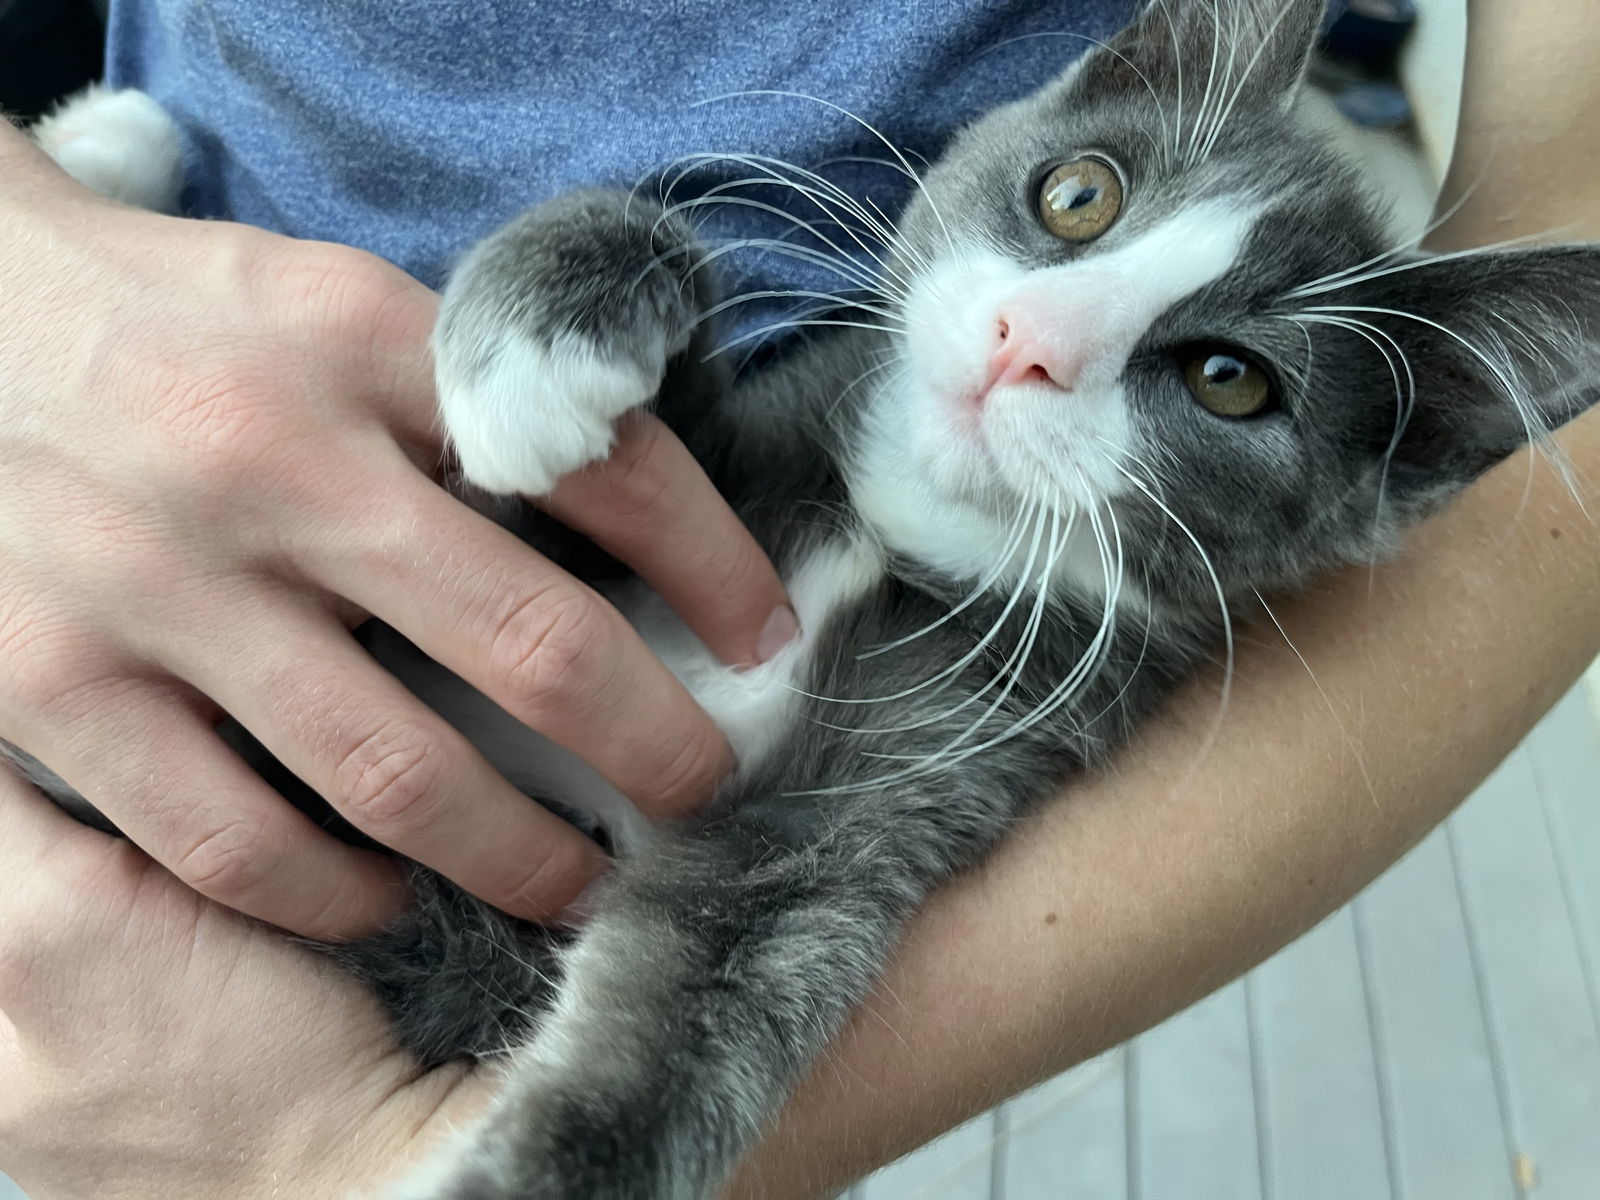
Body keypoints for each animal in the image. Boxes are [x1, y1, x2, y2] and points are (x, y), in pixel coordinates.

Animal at [18, 2, 1600, 1200]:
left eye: (1231, 381)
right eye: (1076, 195)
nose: (1028, 339)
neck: (881, 527)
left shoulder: (896, 785)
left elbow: (714, 996)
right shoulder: (607, 502)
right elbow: (564, 398)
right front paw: (541, 339)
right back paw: (110, 139)